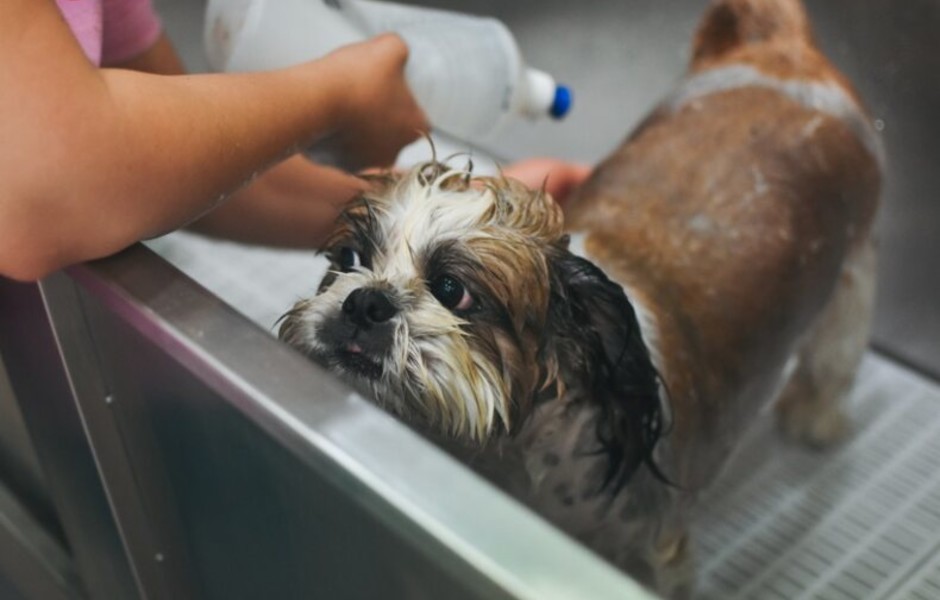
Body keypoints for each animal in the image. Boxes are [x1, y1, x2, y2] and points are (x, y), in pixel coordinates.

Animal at [280, 0, 880, 596]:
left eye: (453, 290)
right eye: (349, 259)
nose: (365, 304)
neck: (521, 454)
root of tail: (780, 50)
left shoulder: (656, 559)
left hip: (851, 283)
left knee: (833, 361)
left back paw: (812, 419)